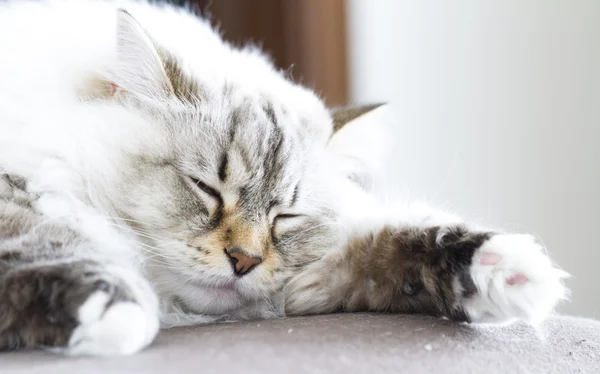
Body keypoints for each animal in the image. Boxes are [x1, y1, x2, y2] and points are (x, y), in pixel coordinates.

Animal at [0, 0, 568, 356]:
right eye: (207, 190)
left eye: (285, 217)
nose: (244, 261)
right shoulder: (19, 194)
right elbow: (50, 244)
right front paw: (112, 310)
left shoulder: (311, 282)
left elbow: (387, 249)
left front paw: (509, 271)